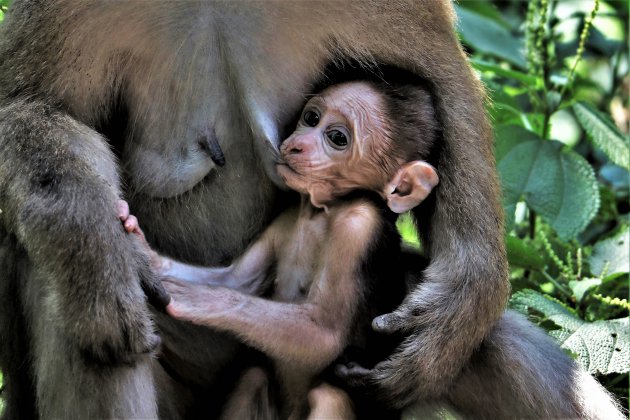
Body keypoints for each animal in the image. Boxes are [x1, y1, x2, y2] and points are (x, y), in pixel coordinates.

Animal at [122, 80, 440, 418]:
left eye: (337, 138)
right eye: (311, 118)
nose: (296, 144)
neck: (323, 210)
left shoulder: (358, 227)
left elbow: (323, 334)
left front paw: (195, 300)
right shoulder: (287, 217)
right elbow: (239, 279)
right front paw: (144, 251)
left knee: (330, 396)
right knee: (254, 377)